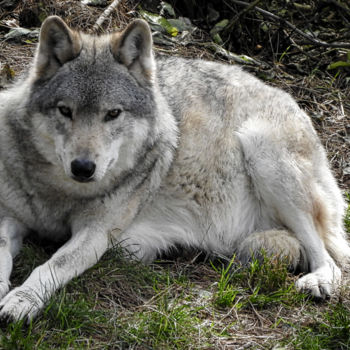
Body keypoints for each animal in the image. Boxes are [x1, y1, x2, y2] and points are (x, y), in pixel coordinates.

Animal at [0, 16, 348, 322]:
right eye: (65, 111)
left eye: (113, 114)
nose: (83, 167)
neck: (59, 192)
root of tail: (289, 99)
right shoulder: (10, 217)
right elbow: (3, 250)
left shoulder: (96, 232)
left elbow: (53, 265)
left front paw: (21, 300)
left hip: (262, 152)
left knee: (331, 260)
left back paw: (319, 280)